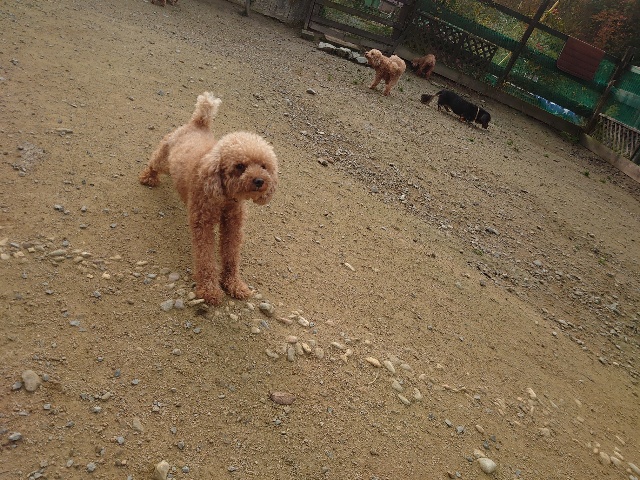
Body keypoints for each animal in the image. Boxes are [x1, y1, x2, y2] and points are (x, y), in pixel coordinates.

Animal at [139, 92, 278, 305]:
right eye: (240, 166)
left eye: (263, 166)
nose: (260, 181)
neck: (226, 198)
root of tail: (199, 123)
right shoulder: (202, 223)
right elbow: (205, 257)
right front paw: (209, 290)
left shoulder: (233, 226)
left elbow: (231, 255)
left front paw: (234, 284)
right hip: (165, 154)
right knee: (155, 162)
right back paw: (149, 177)